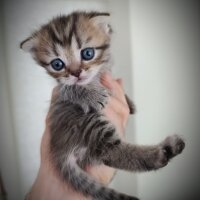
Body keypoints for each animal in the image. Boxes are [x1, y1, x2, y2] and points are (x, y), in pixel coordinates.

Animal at [20, 11, 184, 200]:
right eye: (57, 64)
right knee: (110, 152)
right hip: (89, 123)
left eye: (88, 53)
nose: (76, 73)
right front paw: (90, 95)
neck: (95, 78)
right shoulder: (60, 90)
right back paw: (162, 153)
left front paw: (129, 102)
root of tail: (59, 149)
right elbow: (70, 88)